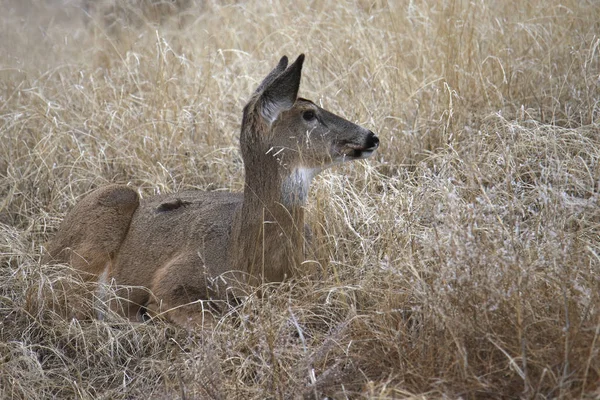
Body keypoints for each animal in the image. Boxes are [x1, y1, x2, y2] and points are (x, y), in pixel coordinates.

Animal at [49, 54, 382, 328]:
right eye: (309, 114)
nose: (371, 136)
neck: (250, 261)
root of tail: (49, 250)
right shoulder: (173, 280)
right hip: (110, 205)